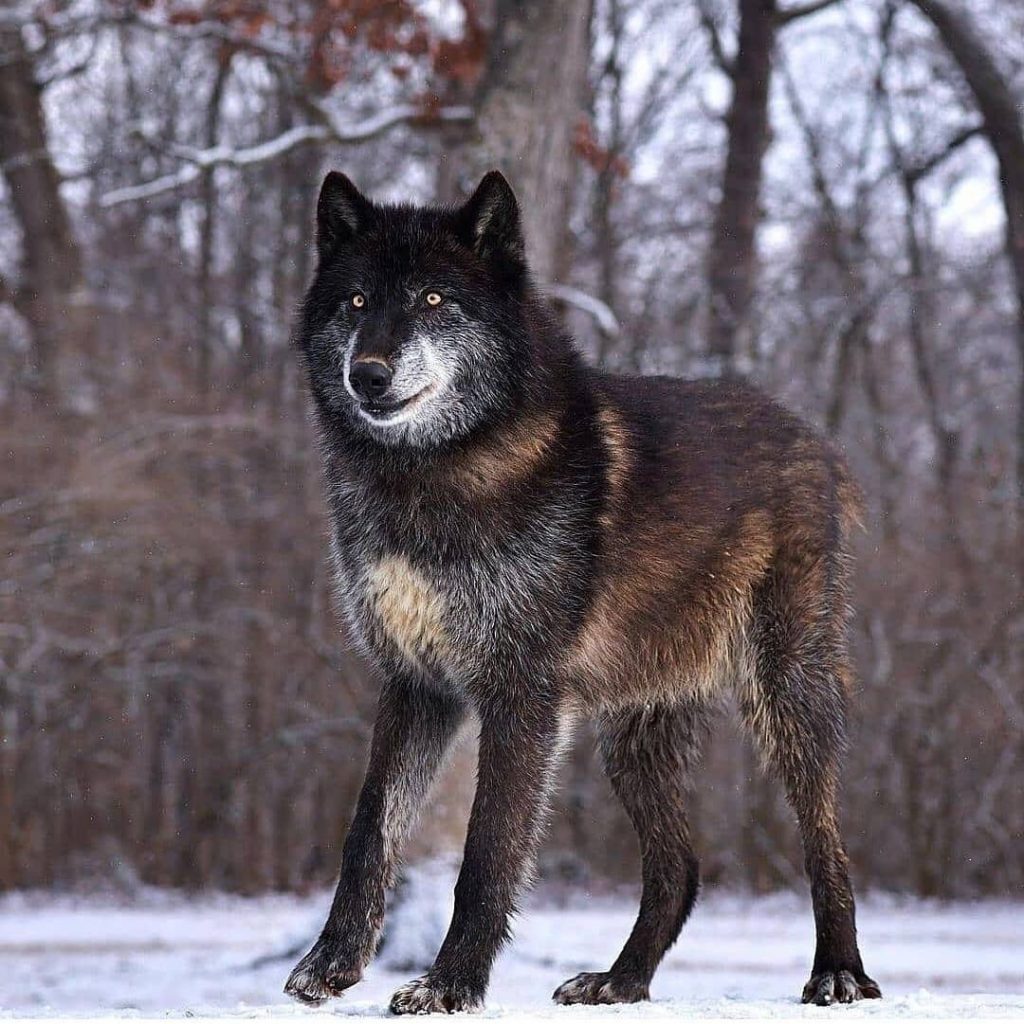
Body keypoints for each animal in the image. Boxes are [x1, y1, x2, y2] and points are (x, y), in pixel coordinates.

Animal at [284, 170, 881, 1012]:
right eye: (358, 301)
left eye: (433, 299)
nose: (367, 373)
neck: (431, 475)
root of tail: (814, 437)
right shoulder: (414, 684)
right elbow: (368, 830)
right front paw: (330, 963)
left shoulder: (520, 695)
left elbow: (488, 850)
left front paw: (449, 984)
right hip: (633, 737)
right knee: (680, 869)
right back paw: (621, 981)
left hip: (784, 694)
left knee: (826, 838)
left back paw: (839, 972)